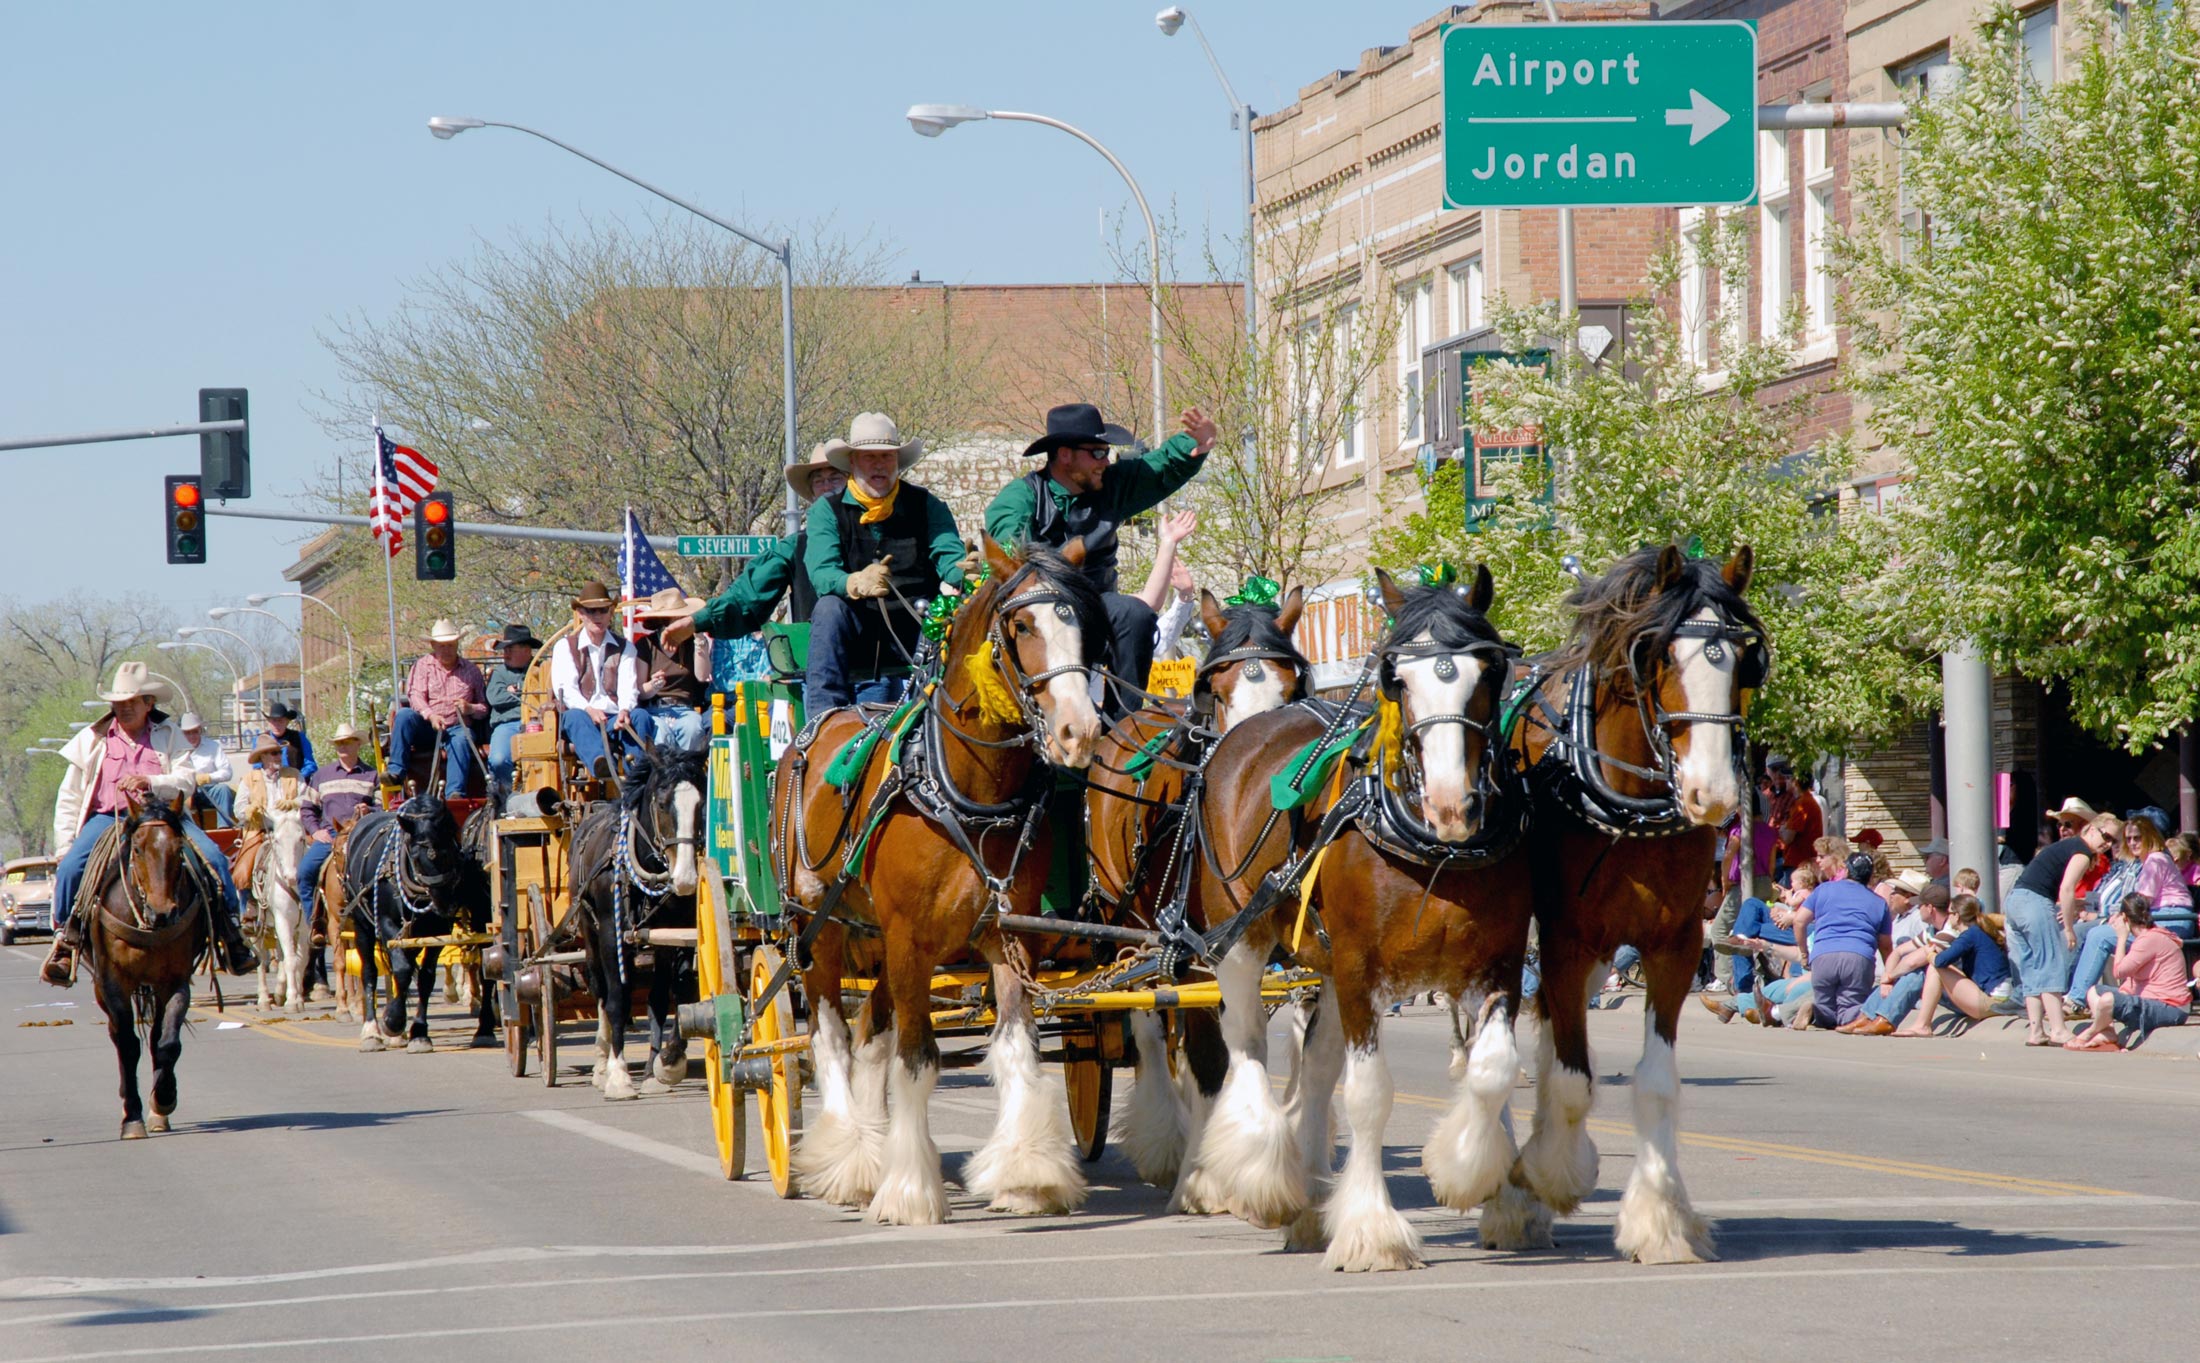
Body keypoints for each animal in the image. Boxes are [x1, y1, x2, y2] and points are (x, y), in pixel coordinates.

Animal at [255, 809, 316, 1011]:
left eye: (301, 839)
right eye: (277, 840)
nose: (291, 877)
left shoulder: (304, 927)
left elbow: (300, 960)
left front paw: (297, 997)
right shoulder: (283, 921)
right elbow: (290, 960)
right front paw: (292, 1001)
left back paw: (280, 991)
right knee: (260, 957)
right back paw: (264, 999)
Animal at [343, 787, 495, 1055]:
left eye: (452, 845)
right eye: (414, 853)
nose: (446, 903)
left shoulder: (437, 929)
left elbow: (425, 977)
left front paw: (419, 1033)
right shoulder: (387, 925)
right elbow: (402, 970)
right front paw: (393, 1021)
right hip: (362, 925)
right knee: (369, 971)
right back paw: (372, 1031)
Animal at [567, 738, 704, 1103]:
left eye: (701, 801)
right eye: (662, 803)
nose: (686, 879)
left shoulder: (675, 935)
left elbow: (672, 995)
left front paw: (666, 1064)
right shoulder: (611, 934)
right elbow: (618, 999)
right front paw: (618, 1076)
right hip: (589, 935)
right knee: (601, 990)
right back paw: (601, 1064)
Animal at [774, 534, 1108, 1222]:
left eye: (1083, 626)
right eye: (1021, 626)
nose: (1080, 732)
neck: (967, 791)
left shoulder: (1007, 933)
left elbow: (1015, 1046)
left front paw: (1026, 1173)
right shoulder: (911, 938)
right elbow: (917, 1059)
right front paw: (908, 1189)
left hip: (875, 936)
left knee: (871, 1031)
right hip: (816, 926)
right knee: (830, 1035)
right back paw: (848, 1158)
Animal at [1504, 538, 1760, 1257]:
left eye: (1745, 660)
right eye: (1658, 655)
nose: (1714, 794)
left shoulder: (1673, 943)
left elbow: (1655, 1083)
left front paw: (1661, 1218)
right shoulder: (1563, 940)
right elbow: (1570, 1082)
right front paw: (1552, 1177)